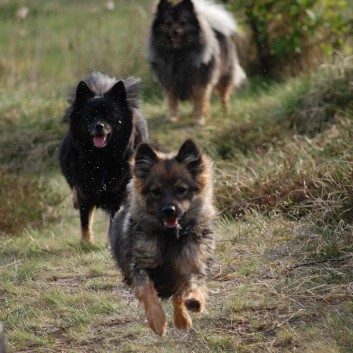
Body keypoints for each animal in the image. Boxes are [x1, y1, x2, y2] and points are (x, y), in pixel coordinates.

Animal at [59, 71, 148, 242]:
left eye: (110, 115)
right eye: (89, 116)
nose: (99, 126)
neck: (102, 159)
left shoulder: (118, 193)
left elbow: (113, 219)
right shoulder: (84, 189)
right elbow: (85, 221)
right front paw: (86, 242)